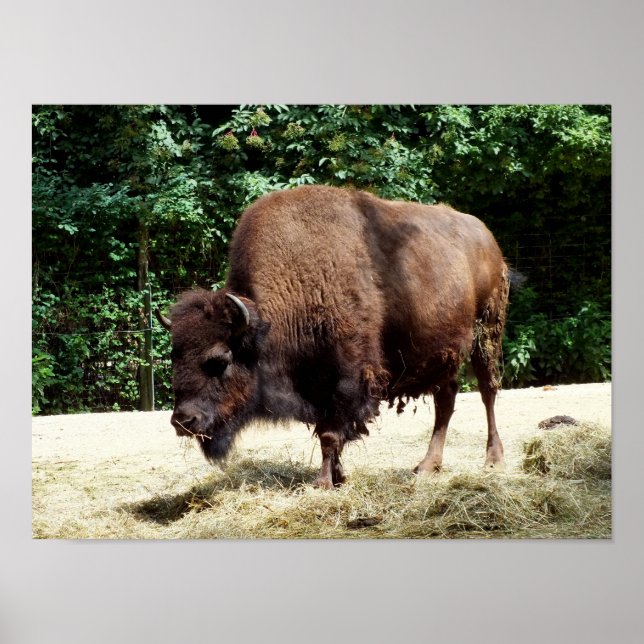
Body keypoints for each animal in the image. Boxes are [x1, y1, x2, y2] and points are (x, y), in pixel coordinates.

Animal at [157, 185, 510, 488]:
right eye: (175, 357)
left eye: (219, 360)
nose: (182, 420)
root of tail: (488, 237)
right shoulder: (318, 386)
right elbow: (328, 432)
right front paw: (339, 477)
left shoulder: (348, 377)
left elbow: (329, 433)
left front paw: (323, 482)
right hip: (445, 354)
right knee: (445, 400)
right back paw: (427, 466)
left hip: (487, 334)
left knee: (487, 391)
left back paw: (493, 460)